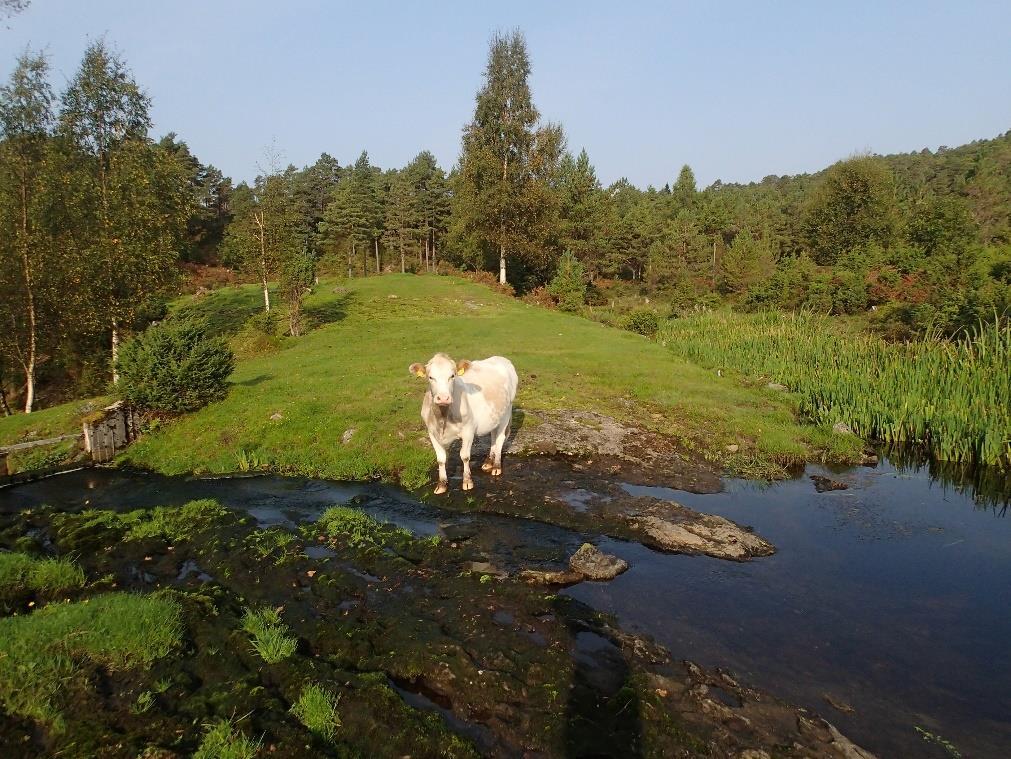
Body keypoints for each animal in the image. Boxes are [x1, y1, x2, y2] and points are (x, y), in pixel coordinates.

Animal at [406, 353, 517, 495]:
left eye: (452, 375)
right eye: (430, 377)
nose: (443, 398)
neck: (443, 418)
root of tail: (501, 358)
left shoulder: (468, 431)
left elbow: (464, 456)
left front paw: (467, 481)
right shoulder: (432, 432)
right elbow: (441, 459)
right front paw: (442, 484)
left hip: (506, 412)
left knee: (500, 438)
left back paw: (496, 466)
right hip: (494, 416)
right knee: (493, 436)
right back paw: (488, 462)